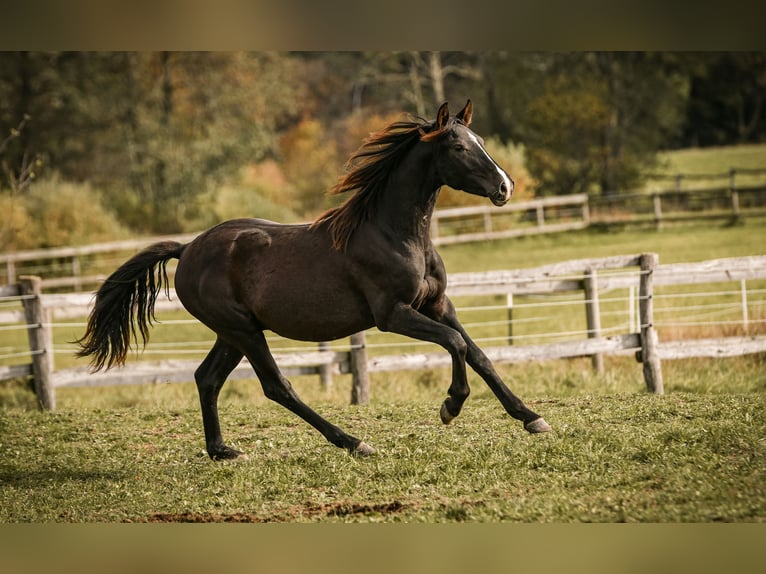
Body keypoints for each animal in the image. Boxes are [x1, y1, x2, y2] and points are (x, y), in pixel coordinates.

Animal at [76, 100, 551, 460]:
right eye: (456, 145)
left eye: (481, 142)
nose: (506, 187)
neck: (392, 233)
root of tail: (188, 248)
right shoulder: (393, 315)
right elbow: (455, 345)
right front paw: (450, 406)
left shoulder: (437, 305)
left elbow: (479, 354)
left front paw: (531, 417)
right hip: (242, 330)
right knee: (276, 386)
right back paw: (353, 442)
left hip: (233, 333)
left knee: (207, 378)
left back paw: (223, 451)